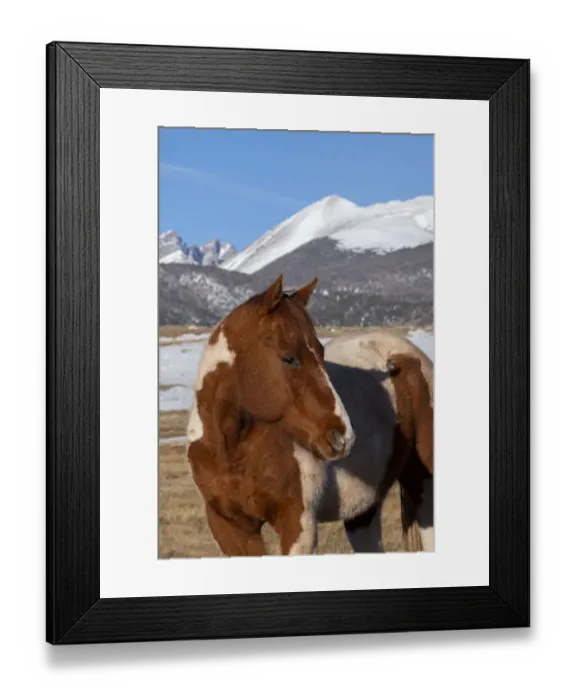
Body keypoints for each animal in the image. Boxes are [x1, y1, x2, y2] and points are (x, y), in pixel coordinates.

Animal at [185, 274, 434, 556]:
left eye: (321, 353)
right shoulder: (231, 529)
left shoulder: (298, 524)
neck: (233, 451)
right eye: (288, 358)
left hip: (425, 491)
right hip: (363, 512)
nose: (343, 436)